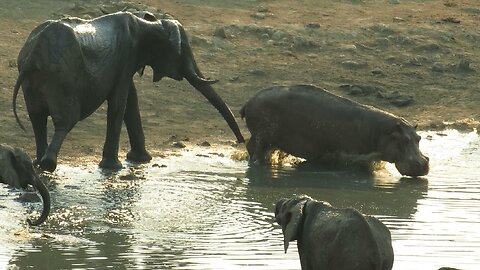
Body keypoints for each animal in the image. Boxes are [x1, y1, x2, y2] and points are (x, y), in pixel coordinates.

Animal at [13, 11, 246, 171]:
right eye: (183, 52)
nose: (242, 143)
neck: (149, 23)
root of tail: (33, 55)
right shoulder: (126, 56)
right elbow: (120, 101)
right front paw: (113, 167)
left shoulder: (128, 62)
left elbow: (130, 101)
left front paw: (141, 160)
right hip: (62, 79)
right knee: (66, 119)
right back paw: (48, 165)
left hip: (34, 81)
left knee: (37, 118)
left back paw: (38, 163)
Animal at [242, 85, 430, 177]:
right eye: (404, 139)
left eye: (418, 138)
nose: (423, 163)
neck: (383, 132)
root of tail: (248, 102)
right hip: (261, 138)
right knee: (255, 151)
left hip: (270, 141)